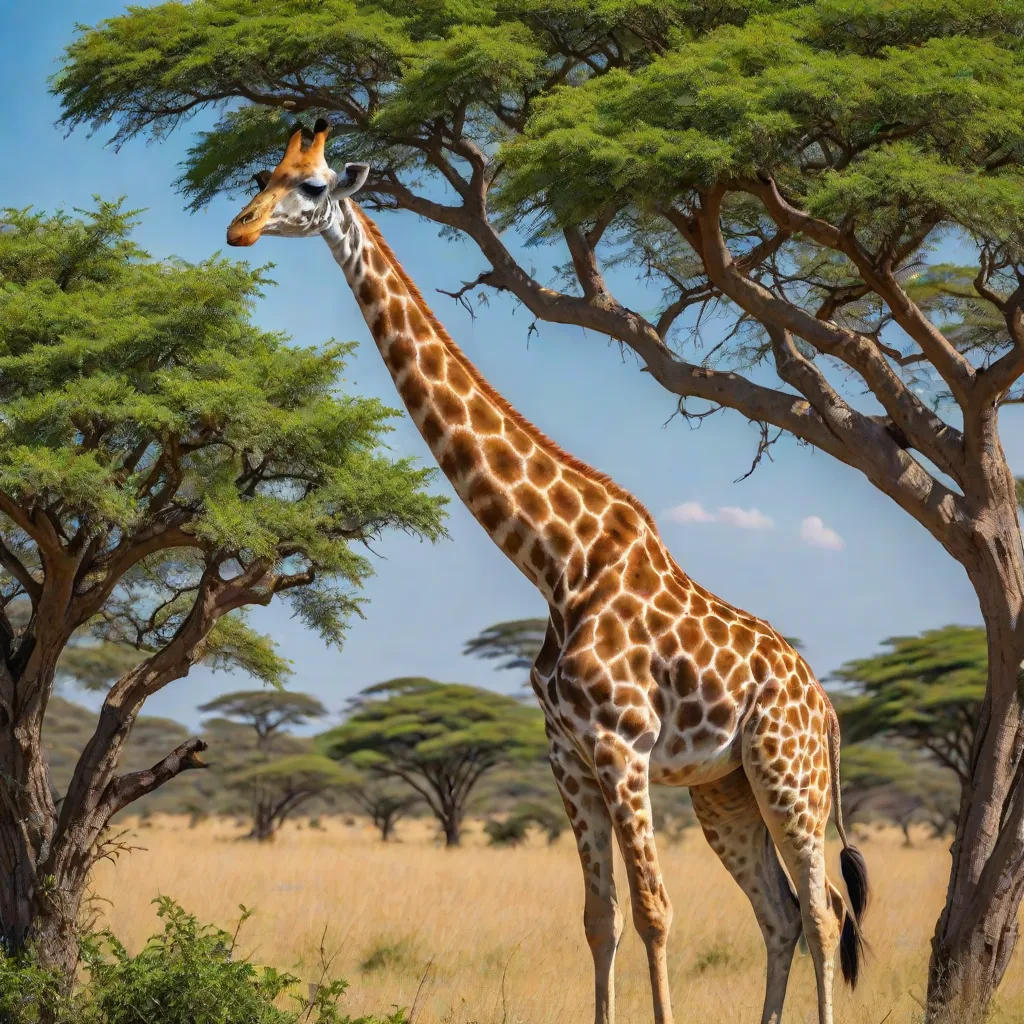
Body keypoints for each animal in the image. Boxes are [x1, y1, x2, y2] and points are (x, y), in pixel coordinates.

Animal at [226, 121, 869, 1024]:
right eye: (262, 175)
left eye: (312, 185)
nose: (239, 229)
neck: (557, 564)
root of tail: (827, 707)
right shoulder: (566, 753)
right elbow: (601, 918)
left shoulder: (621, 747)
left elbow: (655, 912)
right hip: (725, 786)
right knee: (777, 914)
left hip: (788, 775)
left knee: (821, 911)